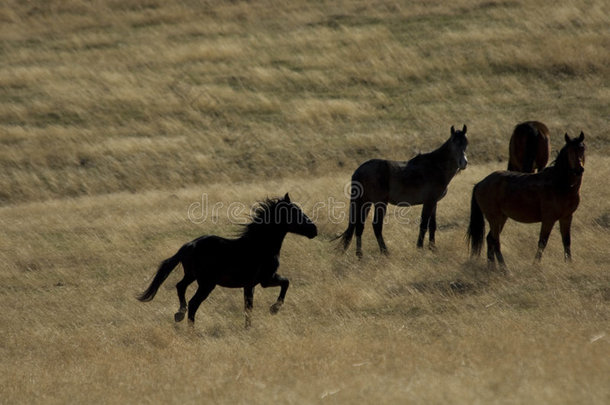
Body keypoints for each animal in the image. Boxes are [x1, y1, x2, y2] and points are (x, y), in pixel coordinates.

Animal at [138, 193, 318, 328]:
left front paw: (248, 328)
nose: (314, 230)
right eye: (295, 212)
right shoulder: (265, 280)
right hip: (206, 283)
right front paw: (274, 309)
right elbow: (286, 282)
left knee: (180, 287)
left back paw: (179, 314)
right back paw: (190, 329)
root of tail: (188, 246)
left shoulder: (250, 285)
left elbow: (248, 307)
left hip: (191, 275)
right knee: (193, 303)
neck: (260, 245)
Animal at [334, 124, 468, 258]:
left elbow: (432, 225)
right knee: (376, 226)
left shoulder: (434, 202)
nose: (464, 163)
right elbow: (424, 225)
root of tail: (359, 170)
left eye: (466, 143)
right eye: (454, 142)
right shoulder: (429, 201)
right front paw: (419, 248)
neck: (435, 166)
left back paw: (359, 255)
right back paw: (385, 252)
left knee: (359, 226)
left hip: (365, 202)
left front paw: (433, 248)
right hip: (379, 203)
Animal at [466, 133, 584, 272]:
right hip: (494, 218)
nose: (579, 169)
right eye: (570, 151)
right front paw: (535, 264)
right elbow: (542, 242)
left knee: (490, 239)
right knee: (495, 241)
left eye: (582, 148)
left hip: (501, 218)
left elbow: (566, 241)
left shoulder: (566, 217)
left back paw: (492, 266)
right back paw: (505, 269)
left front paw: (569, 263)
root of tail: (480, 183)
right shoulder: (548, 219)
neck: (560, 184)